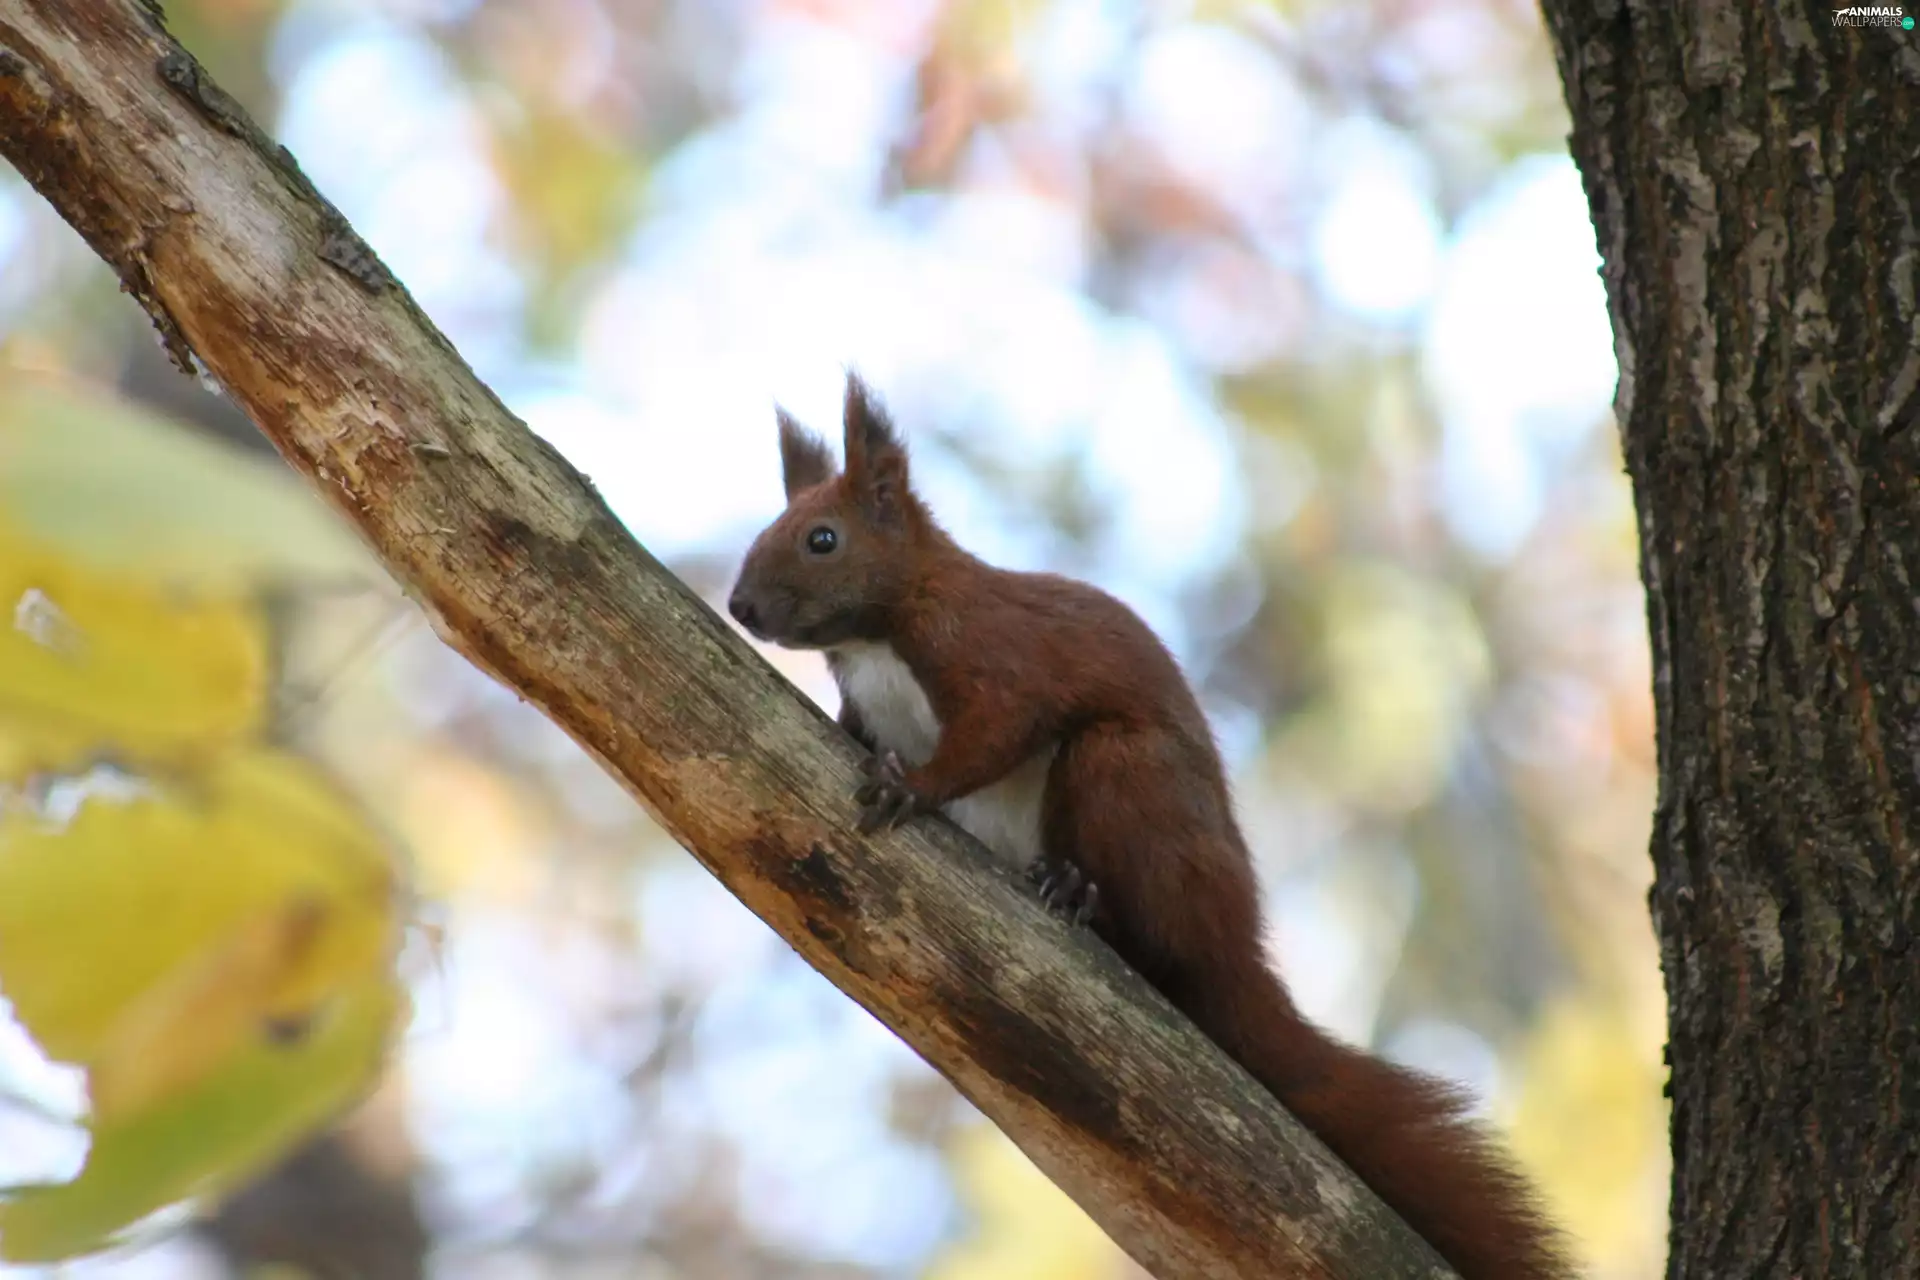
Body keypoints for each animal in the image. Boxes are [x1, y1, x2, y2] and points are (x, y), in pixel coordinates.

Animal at [728, 374, 1572, 1280]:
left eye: (822, 539)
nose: (740, 606)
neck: (879, 634)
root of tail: (1237, 951)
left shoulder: (995, 653)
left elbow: (995, 730)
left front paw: (911, 787)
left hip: (1127, 778)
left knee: (1160, 943)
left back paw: (1081, 895)